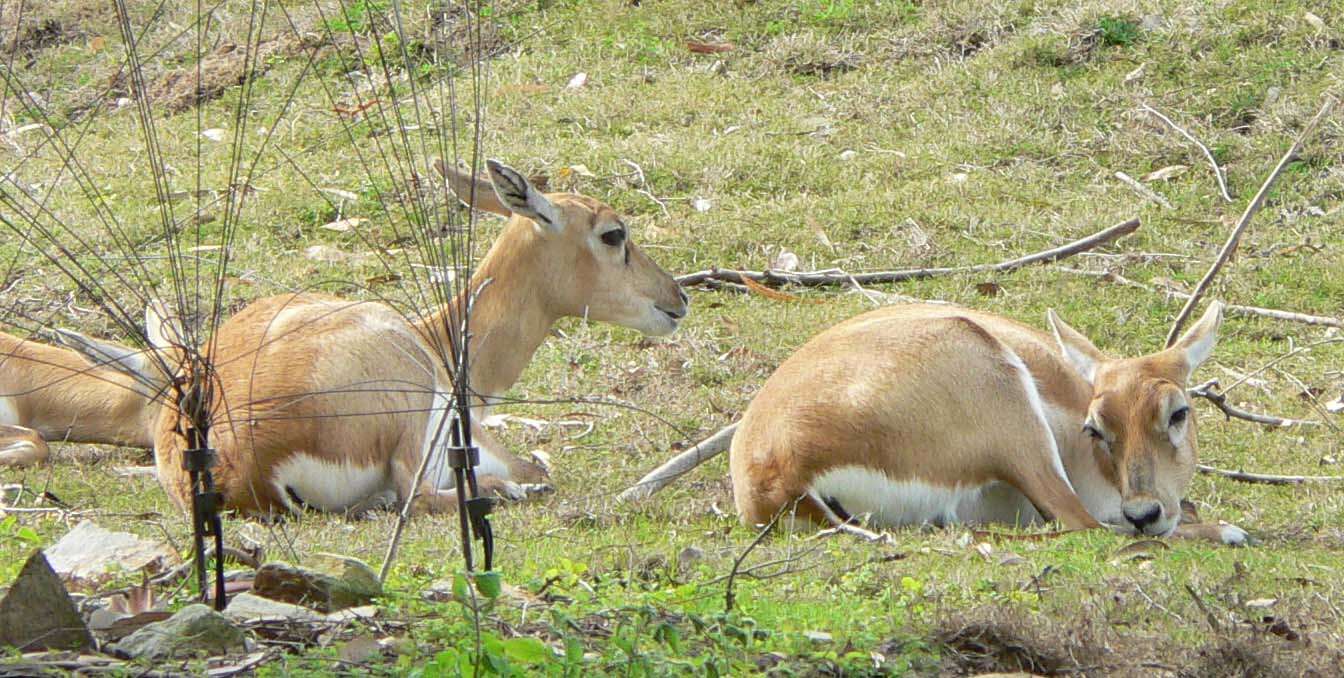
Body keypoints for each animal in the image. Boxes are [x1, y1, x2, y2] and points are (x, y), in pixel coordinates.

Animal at [110, 160, 688, 519]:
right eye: (613, 234)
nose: (677, 298)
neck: (437, 339)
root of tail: (235, 464)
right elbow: (535, 464)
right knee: (416, 493)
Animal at [736, 301, 1247, 546]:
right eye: (1095, 427)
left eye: (1177, 413)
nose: (1143, 513)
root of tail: (776, 471)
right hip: (1017, 424)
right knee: (1083, 525)